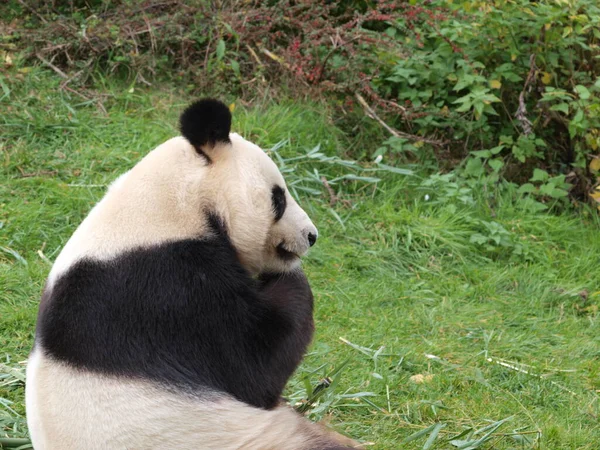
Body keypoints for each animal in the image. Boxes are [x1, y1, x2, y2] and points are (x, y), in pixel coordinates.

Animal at [25, 100, 358, 448]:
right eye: (278, 198)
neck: (168, 207)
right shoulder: (168, 292)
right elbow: (252, 366)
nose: (311, 235)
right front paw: (292, 281)